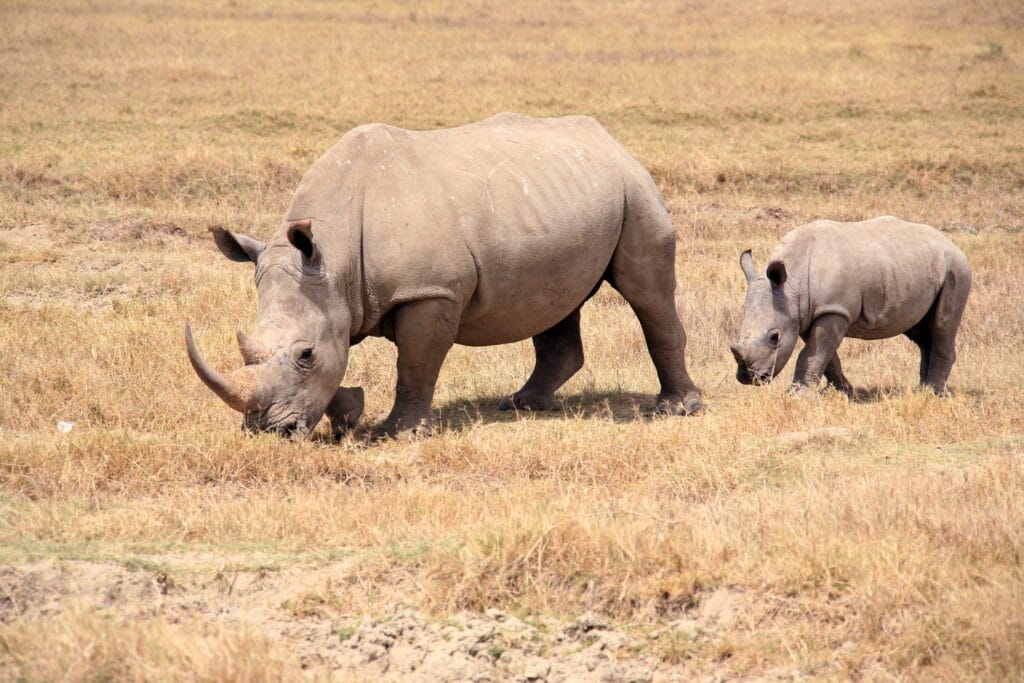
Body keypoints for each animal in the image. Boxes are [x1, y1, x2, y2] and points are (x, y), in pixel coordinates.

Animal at [186, 112, 704, 440]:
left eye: (305, 355)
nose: (270, 434)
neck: (335, 260)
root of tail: (611, 142)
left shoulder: (429, 292)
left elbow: (415, 365)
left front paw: (397, 434)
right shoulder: (335, 297)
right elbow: (344, 364)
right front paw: (349, 415)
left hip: (636, 191)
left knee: (647, 293)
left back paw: (678, 410)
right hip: (561, 199)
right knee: (554, 300)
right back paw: (521, 404)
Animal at [733, 214, 970, 395]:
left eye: (774, 338)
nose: (748, 378)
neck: (792, 285)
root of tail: (951, 243)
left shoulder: (835, 309)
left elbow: (814, 353)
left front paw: (798, 395)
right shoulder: (808, 312)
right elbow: (825, 356)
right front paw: (845, 392)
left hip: (956, 268)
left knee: (941, 324)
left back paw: (932, 392)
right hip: (918, 268)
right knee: (920, 332)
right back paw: (922, 389)